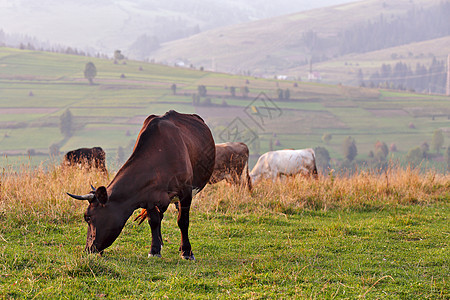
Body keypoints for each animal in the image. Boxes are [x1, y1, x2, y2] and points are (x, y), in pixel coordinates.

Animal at [66, 110, 215, 260]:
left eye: (88, 217)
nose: (88, 249)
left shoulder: (185, 192)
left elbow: (183, 221)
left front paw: (187, 252)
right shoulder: (149, 196)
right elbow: (154, 220)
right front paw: (154, 250)